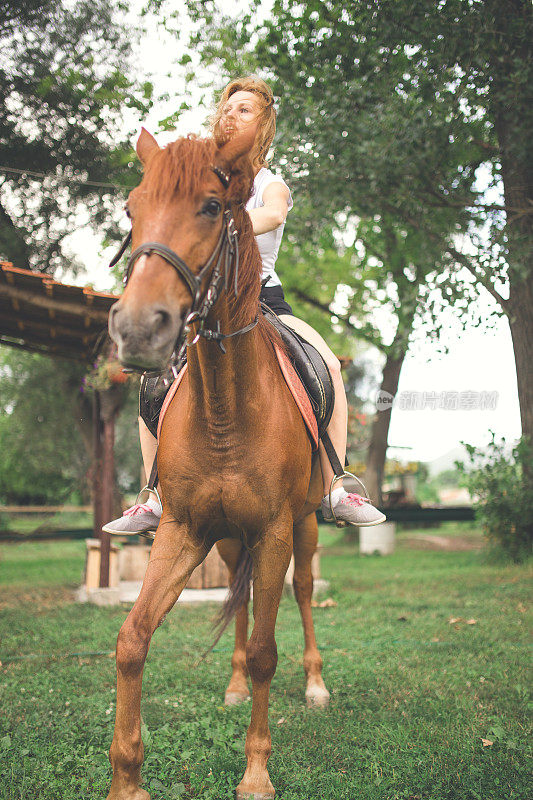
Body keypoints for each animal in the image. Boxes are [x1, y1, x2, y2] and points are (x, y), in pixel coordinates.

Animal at [106, 126, 326, 800]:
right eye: (132, 210)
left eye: (210, 206)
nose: (137, 328)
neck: (228, 409)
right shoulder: (184, 530)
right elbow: (133, 638)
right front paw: (127, 779)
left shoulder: (276, 528)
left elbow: (265, 652)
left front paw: (255, 773)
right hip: (230, 540)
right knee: (242, 594)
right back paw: (231, 688)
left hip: (305, 524)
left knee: (301, 591)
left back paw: (316, 684)